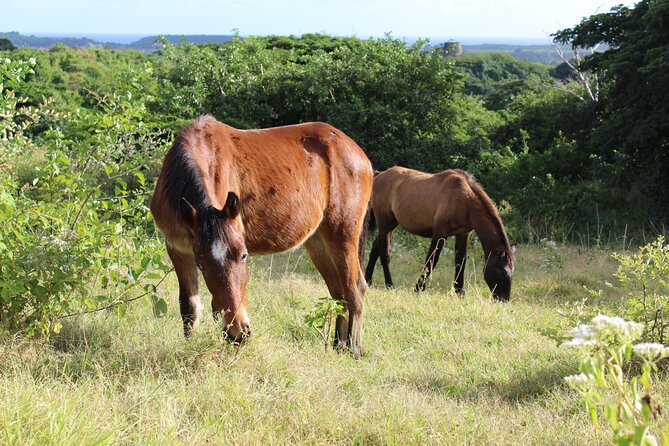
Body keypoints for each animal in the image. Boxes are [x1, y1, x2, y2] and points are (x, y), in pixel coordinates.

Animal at [148, 116, 374, 358]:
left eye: (244, 256)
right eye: (201, 264)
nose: (238, 333)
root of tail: (358, 153)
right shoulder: (179, 250)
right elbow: (189, 307)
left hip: (342, 236)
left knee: (355, 289)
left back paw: (353, 348)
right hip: (318, 242)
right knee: (338, 292)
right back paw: (337, 347)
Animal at [366, 166, 516, 302]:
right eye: (501, 271)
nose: (504, 299)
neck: (465, 200)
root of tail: (379, 175)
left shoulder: (463, 234)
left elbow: (460, 260)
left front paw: (459, 292)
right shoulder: (440, 233)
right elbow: (431, 260)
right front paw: (418, 288)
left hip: (391, 225)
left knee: (375, 248)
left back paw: (367, 280)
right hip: (385, 224)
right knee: (384, 254)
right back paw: (390, 286)